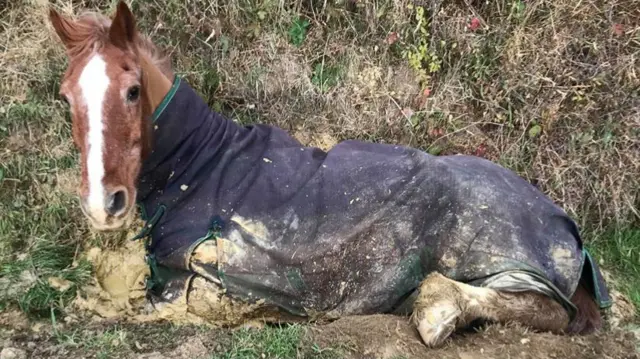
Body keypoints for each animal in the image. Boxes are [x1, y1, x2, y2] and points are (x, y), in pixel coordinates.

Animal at [48, 0, 608, 348]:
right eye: (66, 97)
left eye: (132, 91)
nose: (102, 203)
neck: (202, 161)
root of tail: (564, 223)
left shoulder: (207, 289)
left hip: (508, 262)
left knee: (545, 310)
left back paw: (436, 309)